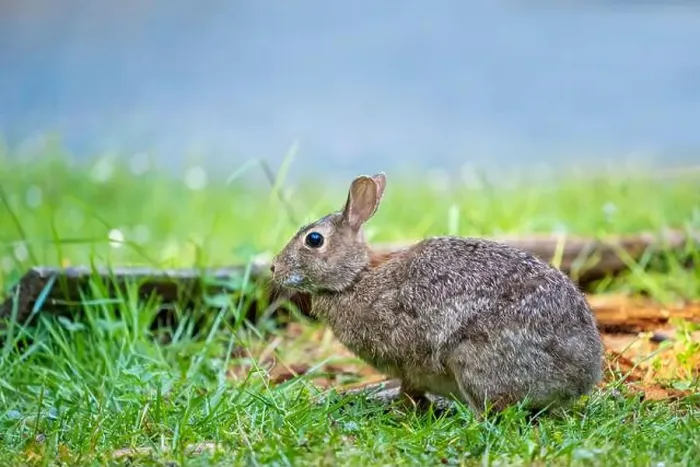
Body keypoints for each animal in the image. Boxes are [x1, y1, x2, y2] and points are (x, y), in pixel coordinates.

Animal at [270, 172, 603, 416]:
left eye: (314, 240)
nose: (274, 268)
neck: (354, 279)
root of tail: (579, 378)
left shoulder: (406, 361)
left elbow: (409, 389)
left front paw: (403, 411)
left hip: (472, 360)